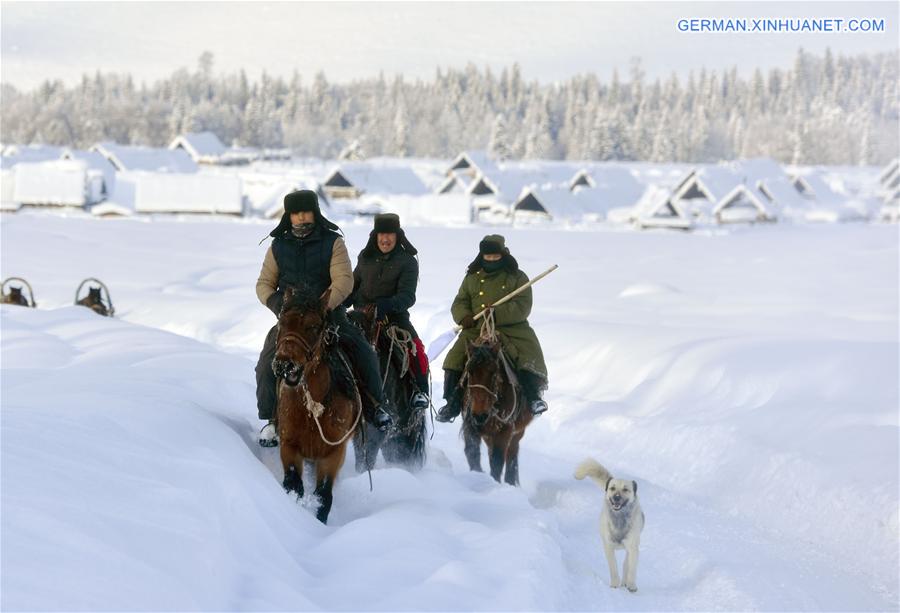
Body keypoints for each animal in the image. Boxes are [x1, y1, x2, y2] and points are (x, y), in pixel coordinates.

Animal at [270, 286, 362, 520]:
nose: (285, 365)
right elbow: (294, 485)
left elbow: (324, 495)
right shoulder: (289, 445)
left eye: (312, 326)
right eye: (282, 323)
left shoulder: (333, 453)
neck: (312, 409)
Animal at [460, 338, 532, 486]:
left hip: (517, 434)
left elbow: (497, 461)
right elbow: (472, 452)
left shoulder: (505, 430)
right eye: (469, 372)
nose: (480, 415)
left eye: (493, 373)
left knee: (511, 456)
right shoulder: (470, 425)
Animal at [572, 456, 644, 592]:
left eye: (625, 489)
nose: (616, 497)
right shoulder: (608, 547)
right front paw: (615, 584)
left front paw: (631, 585)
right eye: (612, 488)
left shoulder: (632, 547)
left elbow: (631, 568)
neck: (619, 519)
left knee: (626, 563)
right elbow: (613, 568)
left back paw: (625, 581)